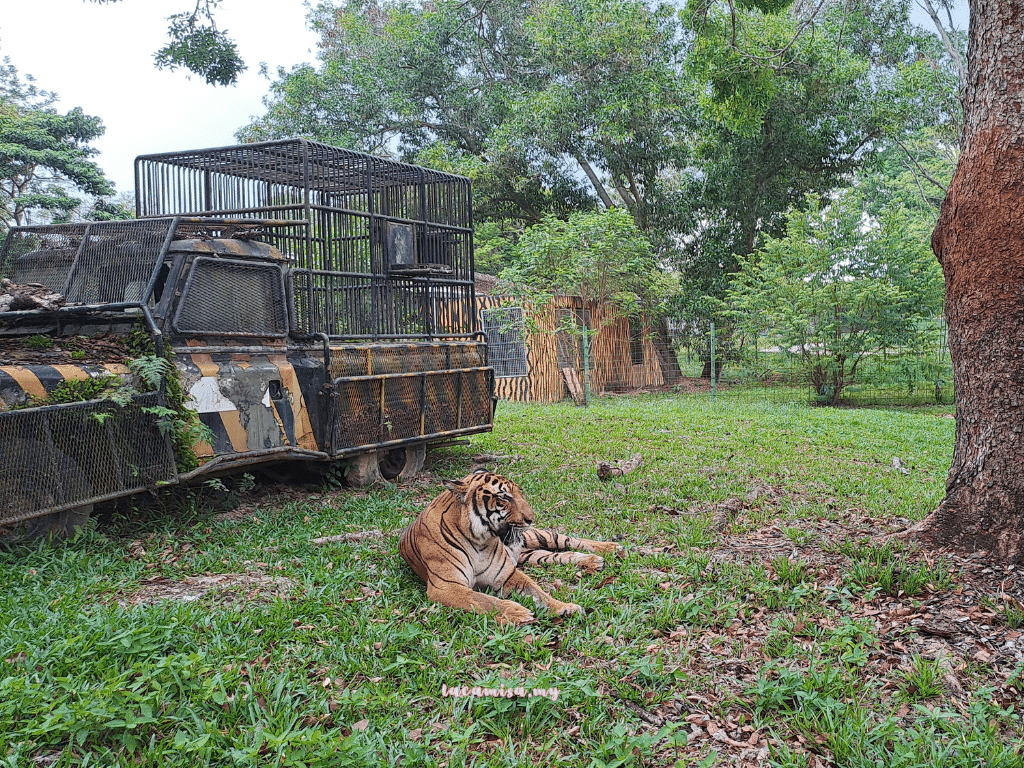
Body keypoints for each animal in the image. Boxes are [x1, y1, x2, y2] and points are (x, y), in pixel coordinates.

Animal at [399, 468, 622, 626]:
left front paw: (564, 607)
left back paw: (610, 548)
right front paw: (518, 612)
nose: (531, 518)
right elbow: (482, 599)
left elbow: (539, 591)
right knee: (561, 555)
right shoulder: (446, 586)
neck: (480, 541)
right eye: (504, 497)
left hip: (538, 536)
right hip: (532, 554)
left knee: (568, 540)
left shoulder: (507, 574)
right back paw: (594, 562)